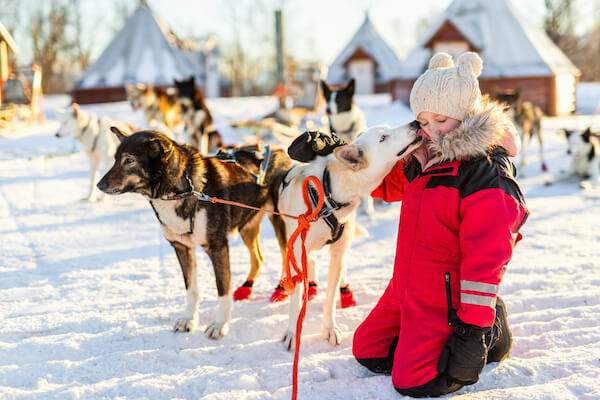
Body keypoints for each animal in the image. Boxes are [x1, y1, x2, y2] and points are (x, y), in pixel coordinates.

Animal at [97, 130, 292, 340]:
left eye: (129, 160)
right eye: (115, 159)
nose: (99, 185)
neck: (181, 191)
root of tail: (277, 149)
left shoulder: (217, 247)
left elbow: (222, 290)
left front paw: (220, 325)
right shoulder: (182, 247)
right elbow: (191, 289)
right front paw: (189, 320)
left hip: (281, 221)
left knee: (286, 255)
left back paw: (282, 289)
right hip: (247, 225)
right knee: (258, 258)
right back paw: (246, 288)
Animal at [278, 122, 422, 350]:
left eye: (389, 128)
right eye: (383, 137)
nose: (415, 123)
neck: (329, 195)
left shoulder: (338, 252)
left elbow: (330, 298)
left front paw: (329, 328)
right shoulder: (299, 249)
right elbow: (296, 300)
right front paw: (293, 331)